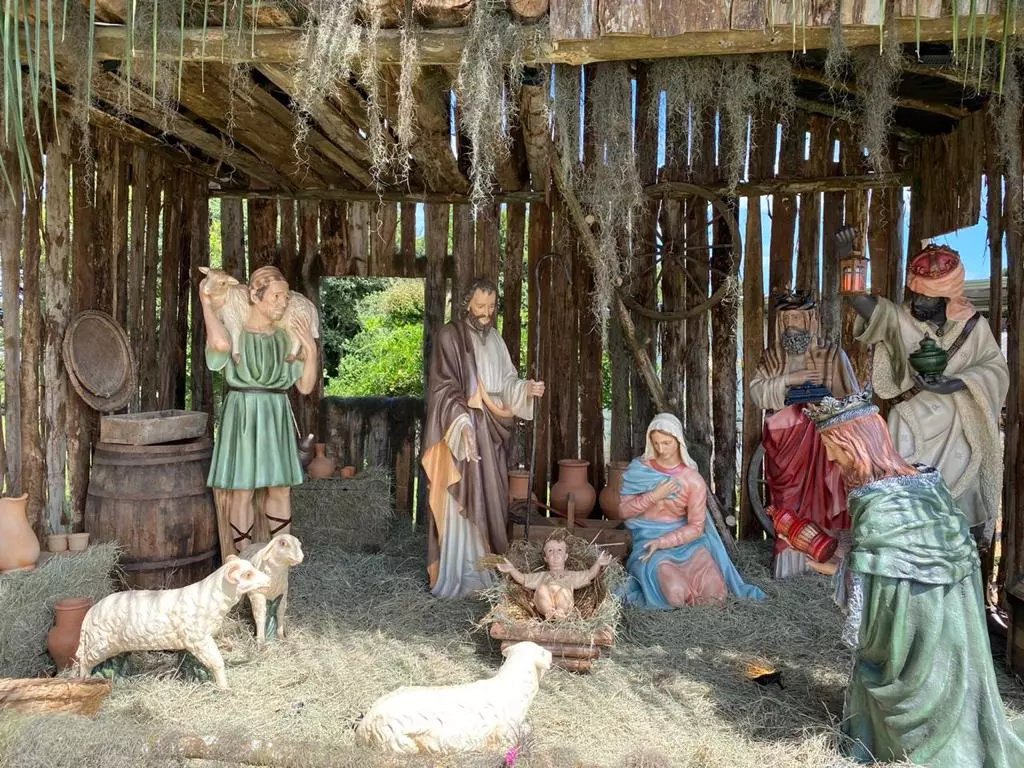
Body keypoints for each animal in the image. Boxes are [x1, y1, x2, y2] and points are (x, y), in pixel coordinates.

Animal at [75, 557, 270, 688]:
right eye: (247, 574)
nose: (268, 581)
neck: (211, 599)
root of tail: (91, 611)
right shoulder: (199, 640)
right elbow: (217, 662)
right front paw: (225, 688)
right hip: (98, 644)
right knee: (84, 660)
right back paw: (84, 681)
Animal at [358, 638, 557, 753]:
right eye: (542, 651)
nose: (551, 654)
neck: (513, 686)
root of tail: (364, 727)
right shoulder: (505, 733)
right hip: (401, 741)